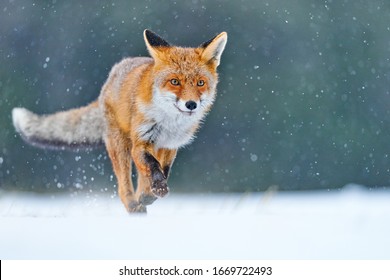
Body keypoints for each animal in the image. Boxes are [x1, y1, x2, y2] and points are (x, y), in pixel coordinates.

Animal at [12, 29, 227, 212]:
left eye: (200, 83)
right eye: (175, 81)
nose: (191, 104)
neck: (169, 123)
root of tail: (109, 79)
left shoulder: (169, 146)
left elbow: (163, 170)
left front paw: (151, 193)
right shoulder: (141, 142)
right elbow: (153, 167)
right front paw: (156, 188)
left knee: (140, 181)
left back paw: (143, 199)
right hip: (120, 146)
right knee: (124, 188)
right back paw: (134, 206)